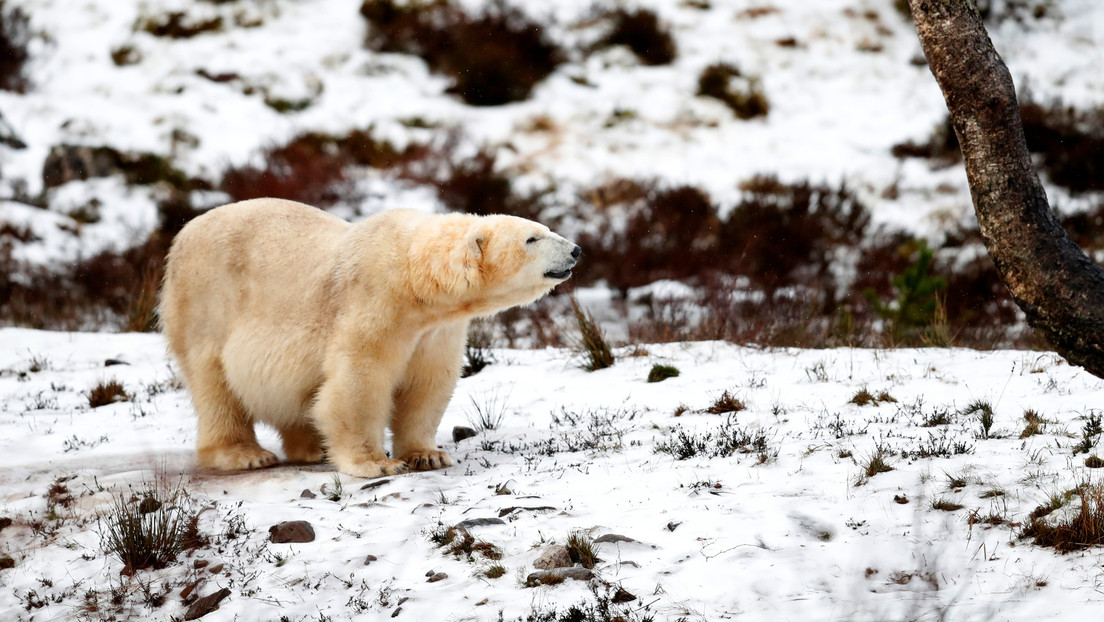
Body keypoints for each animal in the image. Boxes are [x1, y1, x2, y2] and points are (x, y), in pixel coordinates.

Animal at [160, 198, 579, 478]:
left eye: (542, 230)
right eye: (532, 238)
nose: (576, 250)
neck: (416, 278)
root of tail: (183, 234)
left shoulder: (434, 331)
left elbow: (427, 385)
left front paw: (428, 455)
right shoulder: (376, 303)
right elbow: (360, 381)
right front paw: (377, 463)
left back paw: (312, 448)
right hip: (205, 304)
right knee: (215, 384)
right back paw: (245, 454)